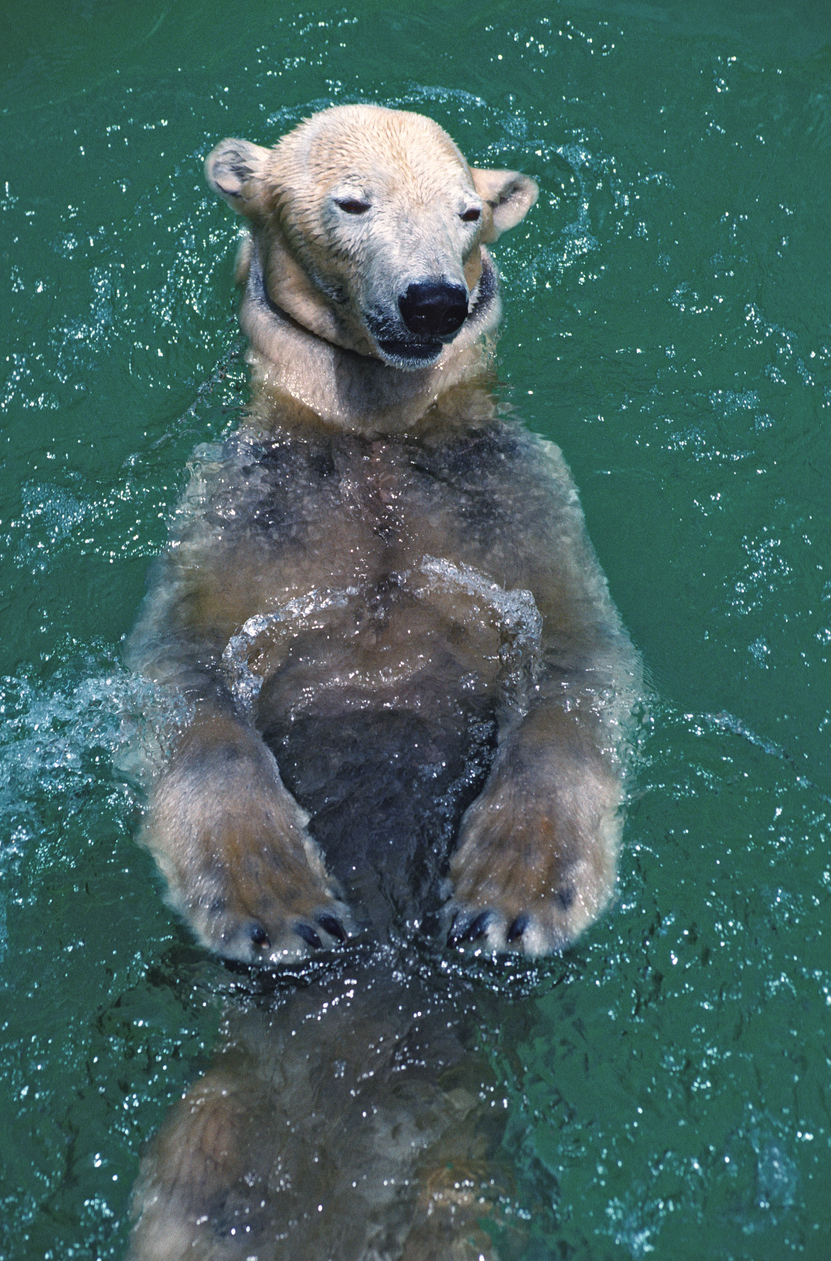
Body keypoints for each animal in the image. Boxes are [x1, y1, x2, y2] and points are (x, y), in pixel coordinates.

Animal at [126, 104, 641, 1259]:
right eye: (351, 202)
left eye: (467, 210)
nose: (434, 299)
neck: (369, 436)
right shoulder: (233, 509)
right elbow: (182, 686)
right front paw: (278, 905)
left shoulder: (519, 498)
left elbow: (578, 669)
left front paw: (510, 892)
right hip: (208, 1151)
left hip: (463, 1173)